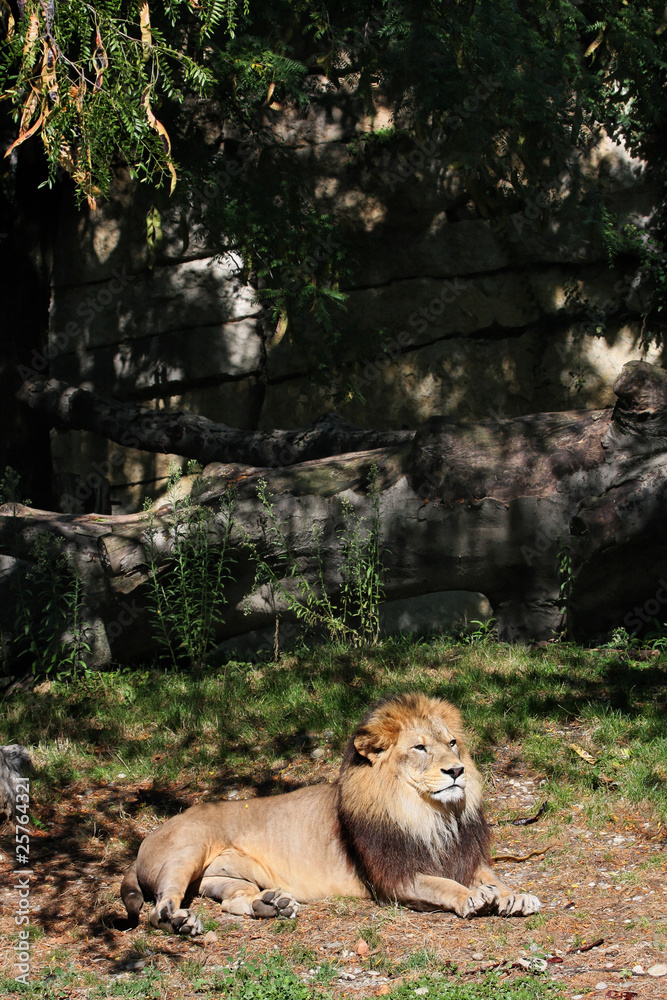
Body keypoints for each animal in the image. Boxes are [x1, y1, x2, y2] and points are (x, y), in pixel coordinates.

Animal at [121, 693, 541, 934]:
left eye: (452, 742)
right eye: (420, 747)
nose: (457, 770)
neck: (431, 815)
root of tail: (148, 836)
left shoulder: (462, 855)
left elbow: (492, 876)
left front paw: (515, 896)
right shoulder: (393, 878)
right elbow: (442, 885)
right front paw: (473, 897)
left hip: (224, 878)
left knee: (231, 900)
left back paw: (271, 905)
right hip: (186, 852)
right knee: (159, 909)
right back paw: (181, 921)